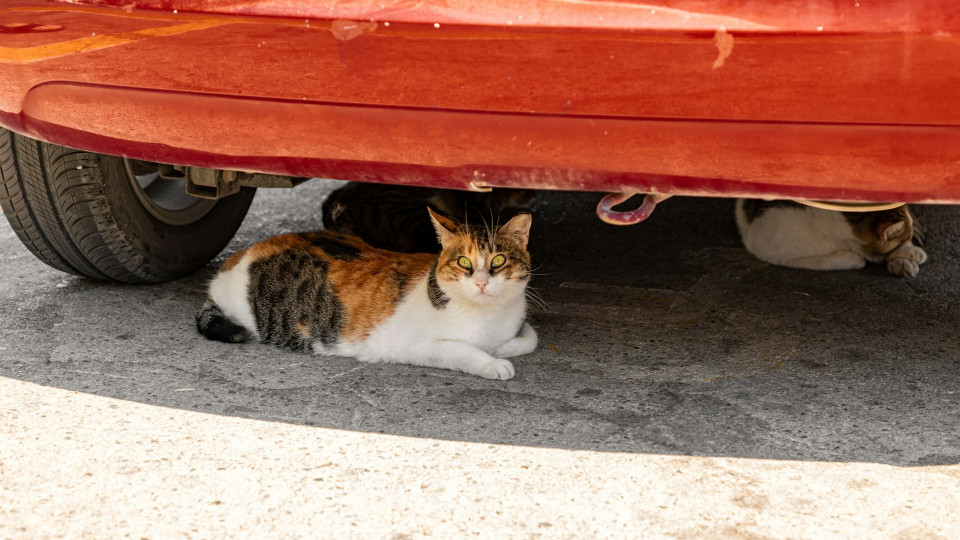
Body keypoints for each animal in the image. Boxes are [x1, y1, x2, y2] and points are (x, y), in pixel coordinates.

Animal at [198, 207, 536, 380]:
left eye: (498, 261)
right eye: (464, 262)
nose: (481, 283)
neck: (487, 318)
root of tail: (239, 255)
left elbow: (528, 339)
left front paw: (501, 349)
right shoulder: (412, 345)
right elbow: (461, 350)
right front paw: (492, 363)